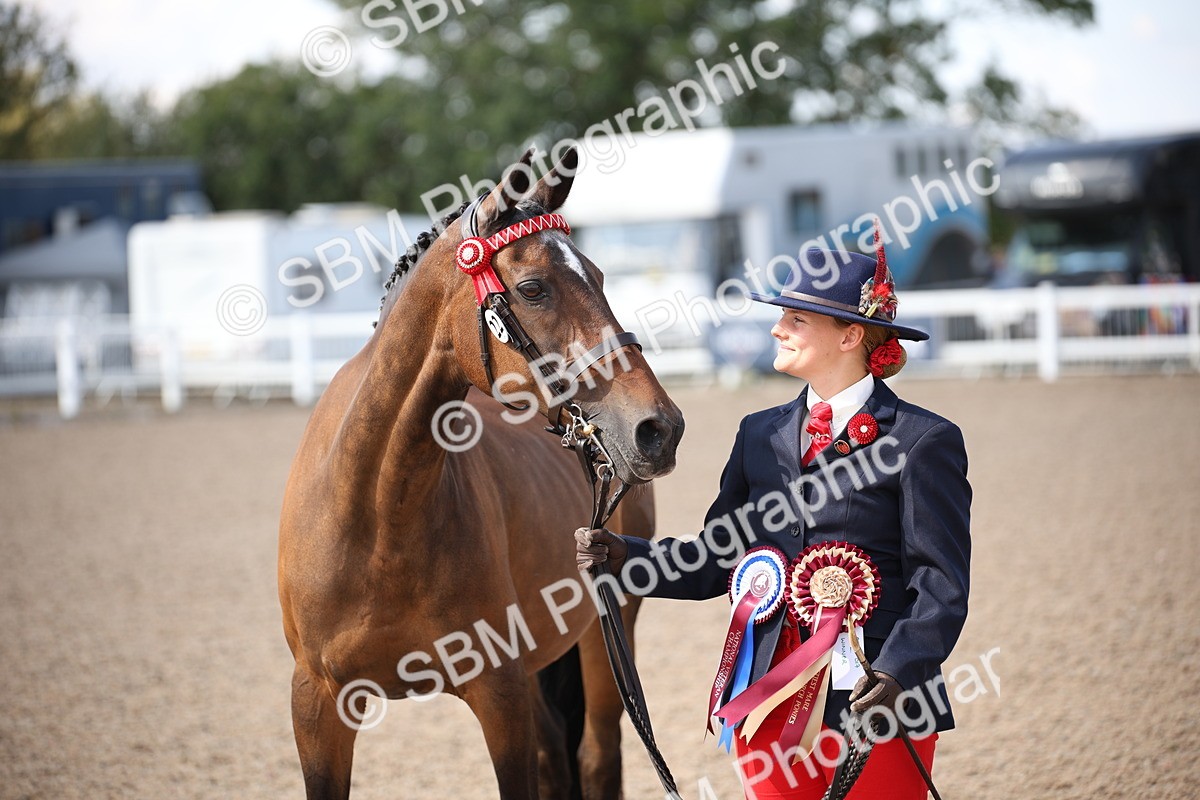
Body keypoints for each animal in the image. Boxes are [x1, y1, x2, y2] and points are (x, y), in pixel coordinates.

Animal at [278, 147, 685, 800]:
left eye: (599, 277)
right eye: (533, 288)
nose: (658, 428)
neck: (375, 518)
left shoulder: (500, 693)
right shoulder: (316, 704)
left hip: (607, 631)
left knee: (598, 757)